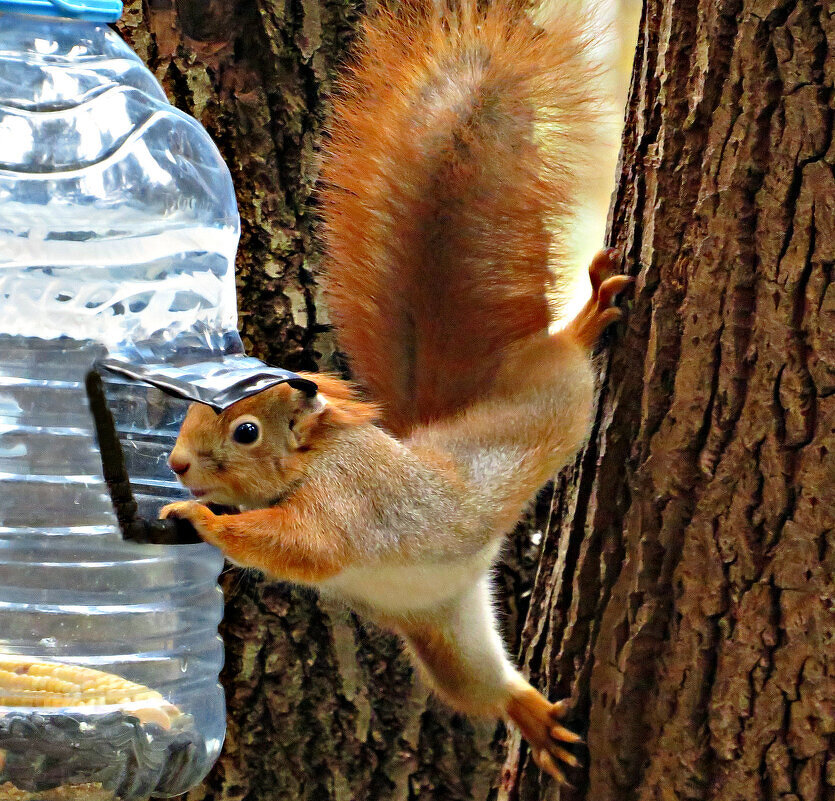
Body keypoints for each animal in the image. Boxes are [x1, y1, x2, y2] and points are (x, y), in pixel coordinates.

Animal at [160, 0, 632, 780]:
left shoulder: (345, 502)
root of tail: (443, 425)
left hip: (543, 408)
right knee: (479, 684)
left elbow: (303, 545)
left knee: (559, 365)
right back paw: (530, 715)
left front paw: (202, 519)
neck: (314, 458)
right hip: (444, 630)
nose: (176, 463)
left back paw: (585, 321)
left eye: (245, 430)